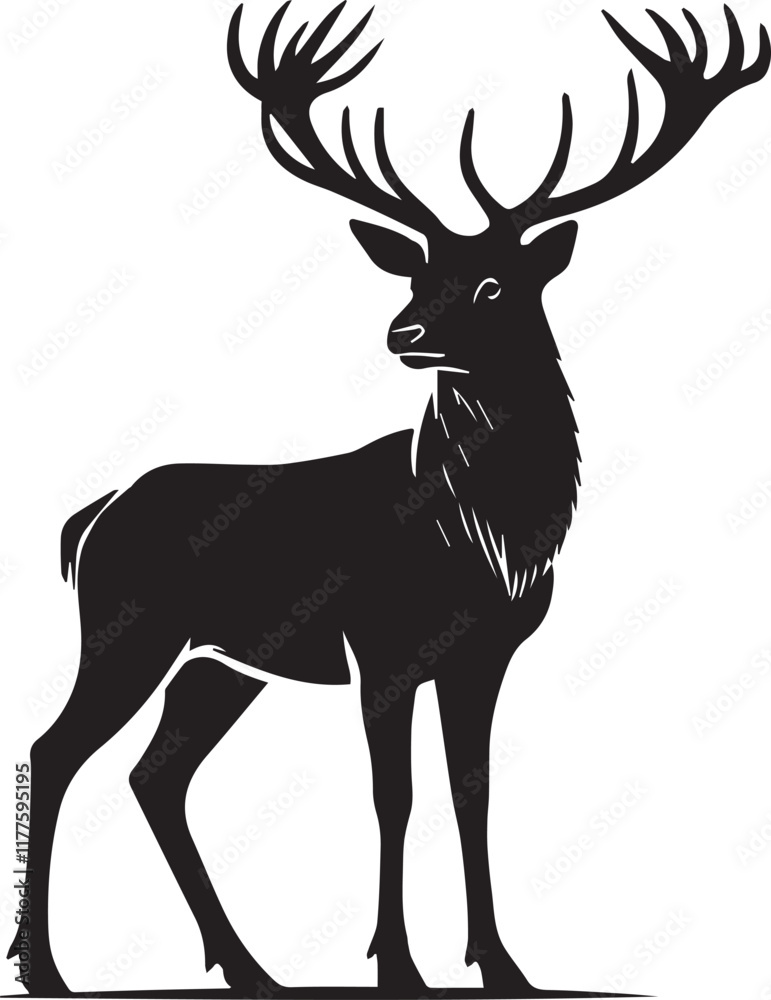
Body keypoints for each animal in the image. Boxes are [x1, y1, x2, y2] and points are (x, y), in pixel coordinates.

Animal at [9, 2, 769, 997]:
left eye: (491, 282)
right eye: (414, 275)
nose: (402, 332)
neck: (485, 535)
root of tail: (87, 518)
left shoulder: (485, 654)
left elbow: (470, 792)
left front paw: (501, 965)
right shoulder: (381, 648)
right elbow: (392, 796)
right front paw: (397, 964)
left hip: (218, 663)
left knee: (156, 777)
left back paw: (248, 968)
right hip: (127, 629)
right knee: (55, 750)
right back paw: (49, 970)